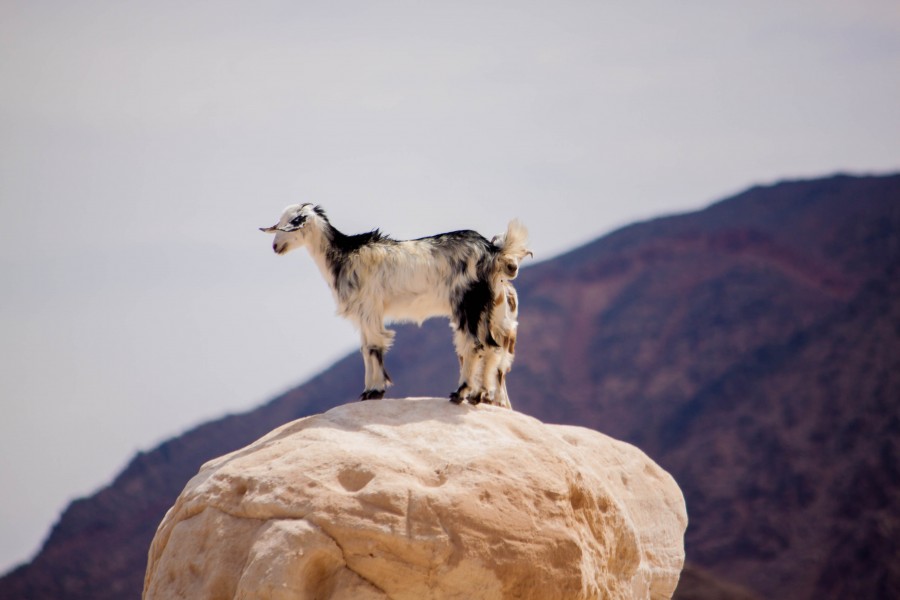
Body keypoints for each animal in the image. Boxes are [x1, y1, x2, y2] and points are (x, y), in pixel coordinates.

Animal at [258, 204, 528, 406]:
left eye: (291, 223)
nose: (275, 247)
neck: (344, 255)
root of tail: (492, 250)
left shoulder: (369, 309)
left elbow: (372, 347)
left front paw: (373, 391)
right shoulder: (366, 314)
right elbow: (366, 348)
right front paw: (370, 391)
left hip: (467, 304)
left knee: (473, 345)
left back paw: (460, 392)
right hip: (486, 309)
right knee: (491, 347)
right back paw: (478, 396)